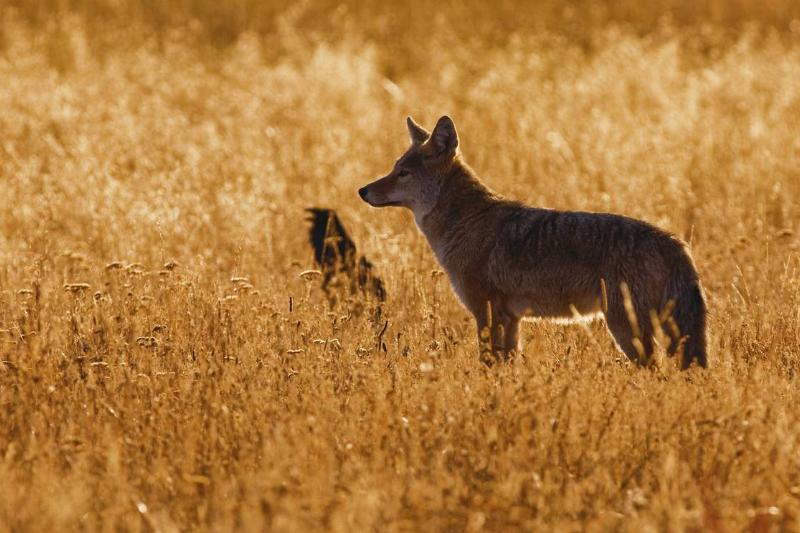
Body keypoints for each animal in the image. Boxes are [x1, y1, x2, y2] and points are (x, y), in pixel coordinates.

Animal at [358, 116, 707, 369]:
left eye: (403, 173)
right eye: (394, 169)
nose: (362, 190)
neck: (465, 221)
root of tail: (674, 241)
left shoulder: (486, 313)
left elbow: (487, 365)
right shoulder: (511, 319)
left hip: (626, 329)